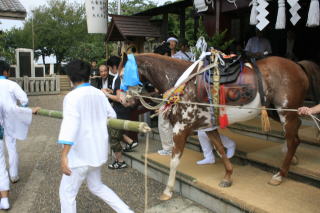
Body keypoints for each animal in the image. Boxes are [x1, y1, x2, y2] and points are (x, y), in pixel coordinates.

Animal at [119, 52, 320, 201]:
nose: (123, 100)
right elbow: (220, 149)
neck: (183, 83)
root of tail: (297, 65)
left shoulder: (181, 129)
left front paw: (168, 190)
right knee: (297, 129)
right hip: (277, 111)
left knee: (294, 140)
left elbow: (175, 160)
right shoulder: (207, 126)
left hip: (286, 111)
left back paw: (280, 174)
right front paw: (228, 176)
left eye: (122, 75)